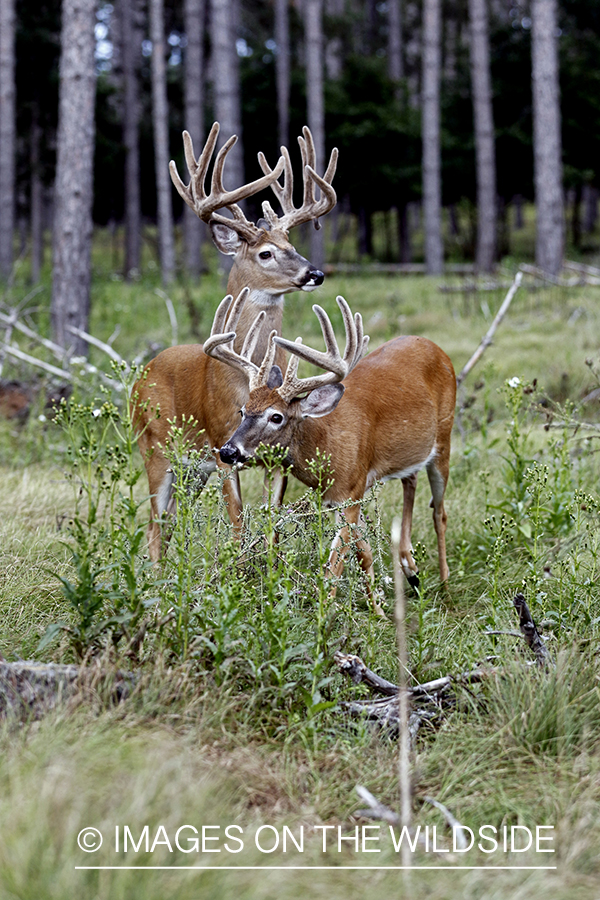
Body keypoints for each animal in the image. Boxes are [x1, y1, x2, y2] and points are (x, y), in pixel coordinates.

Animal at [133, 118, 338, 556]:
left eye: (291, 244)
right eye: (265, 253)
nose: (315, 272)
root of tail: (141, 377)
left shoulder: (277, 456)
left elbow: (273, 526)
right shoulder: (221, 443)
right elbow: (239, 523)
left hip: (192, 469)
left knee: (169, 522)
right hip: (154, 449)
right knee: (155, 527)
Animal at [204, 288, 458, 612]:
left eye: (277, 417)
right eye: (242, 410)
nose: (228, 451)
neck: (327, 442)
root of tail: (435, 346)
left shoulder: (350, 490)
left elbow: (335, 563)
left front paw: (327, 615)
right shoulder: (344, 494)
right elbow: (363, 551)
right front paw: (378, 608)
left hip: (445, 437)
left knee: (440, 512)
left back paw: (446, 584)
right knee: (410, 481)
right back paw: (410, 568)